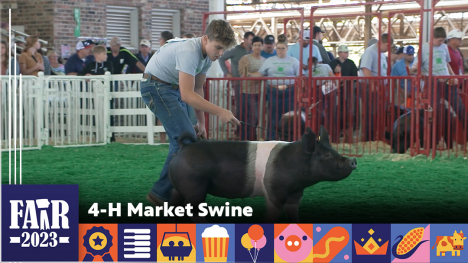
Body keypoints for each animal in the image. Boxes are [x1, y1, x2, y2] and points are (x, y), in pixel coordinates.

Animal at [166, 126, 356, 223]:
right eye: (326, 155)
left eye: (333, 150)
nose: (353, 160)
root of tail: (184, 147)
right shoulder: (274, 192)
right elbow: (273, 214)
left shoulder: (295, 195)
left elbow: (294, 215)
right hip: (194, 186)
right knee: (191, 210)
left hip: (178, 188)